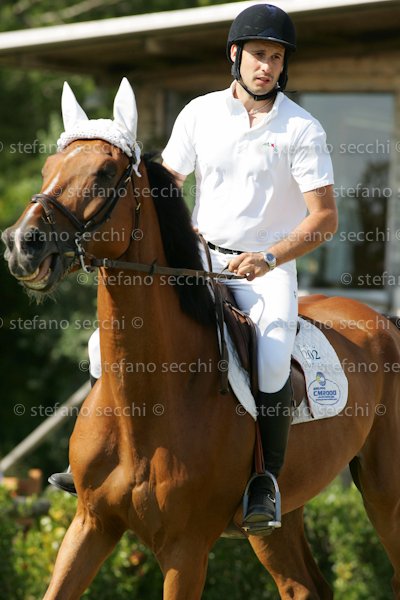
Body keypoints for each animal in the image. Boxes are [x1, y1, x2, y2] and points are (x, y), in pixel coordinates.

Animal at [3, 81, 400, 600]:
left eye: (105, 172)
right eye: (48, 168)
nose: (21, 245)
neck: (149, 400)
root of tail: (383, 320)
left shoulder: (186, 550)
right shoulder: (90, 525)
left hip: (386, 494)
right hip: (280, 517)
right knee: (305, 586)